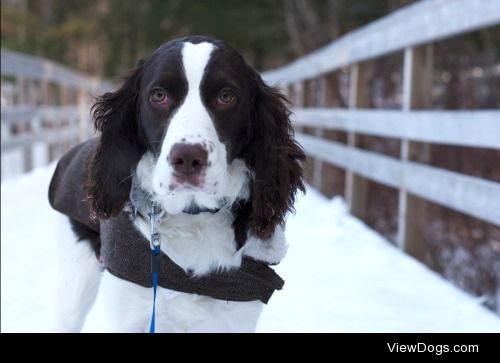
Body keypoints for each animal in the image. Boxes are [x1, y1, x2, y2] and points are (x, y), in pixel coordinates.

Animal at [48, 36, 304, 332]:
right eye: (159, 95)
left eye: (226, 96)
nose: (188, 158)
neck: (193, 217)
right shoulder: (129, 315)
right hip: (74, 287)